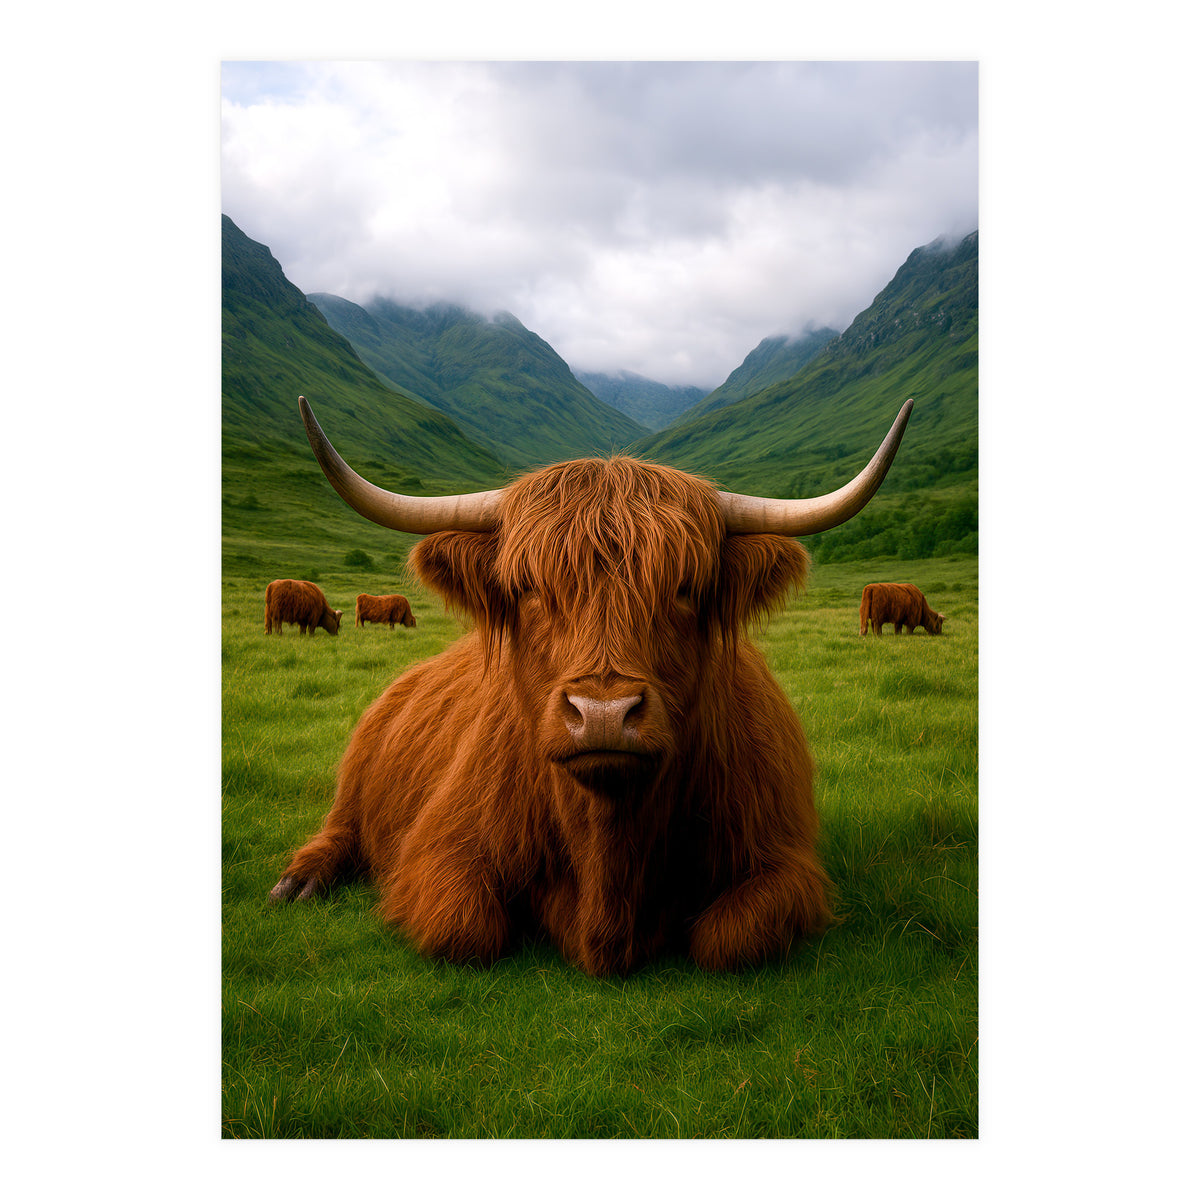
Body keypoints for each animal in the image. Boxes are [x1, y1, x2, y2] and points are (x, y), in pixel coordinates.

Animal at [269, 396, 913, 976]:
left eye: (685, 588)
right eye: (528, 587)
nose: (603, 714)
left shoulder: (784, 862)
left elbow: (728, 940)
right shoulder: (439, 849)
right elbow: (465, 929)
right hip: (356, 779)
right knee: (341, 828)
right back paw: (298, 882)